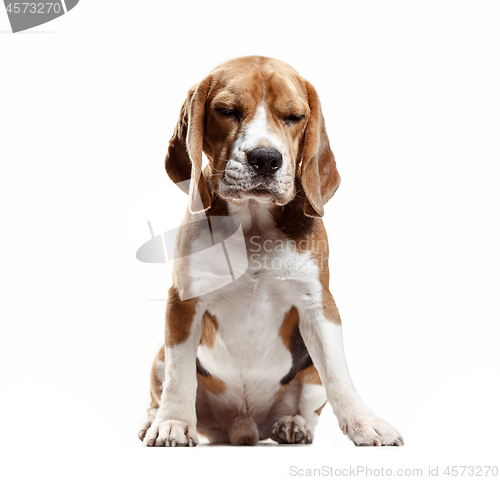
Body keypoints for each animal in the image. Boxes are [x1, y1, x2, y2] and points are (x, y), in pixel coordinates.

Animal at [139, 56, 404, 446]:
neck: (254, 226)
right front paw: (173, 422)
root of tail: (244, 424)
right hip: (158, 358)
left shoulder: (318, 304)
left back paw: (293, 424)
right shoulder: (183, 302)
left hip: (309, 377)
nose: (265, 159)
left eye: (294, 117)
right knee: (160, 390)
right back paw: (153, 420)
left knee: (308, 404)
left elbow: (339, 375)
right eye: (227, 111)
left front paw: (364, 423)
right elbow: (180, 375)